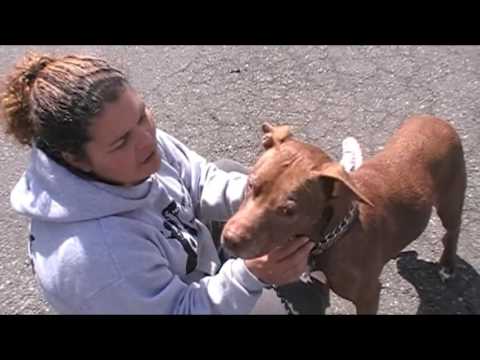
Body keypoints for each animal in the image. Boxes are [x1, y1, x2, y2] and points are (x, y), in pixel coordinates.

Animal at [223, 116, 466, 316]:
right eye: (251, 184)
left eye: (289, 211)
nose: (229, 239)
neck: (332, 237)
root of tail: (437, 120)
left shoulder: (369, 296)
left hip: (450, 201)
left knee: (452, 231)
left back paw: (447, 265)